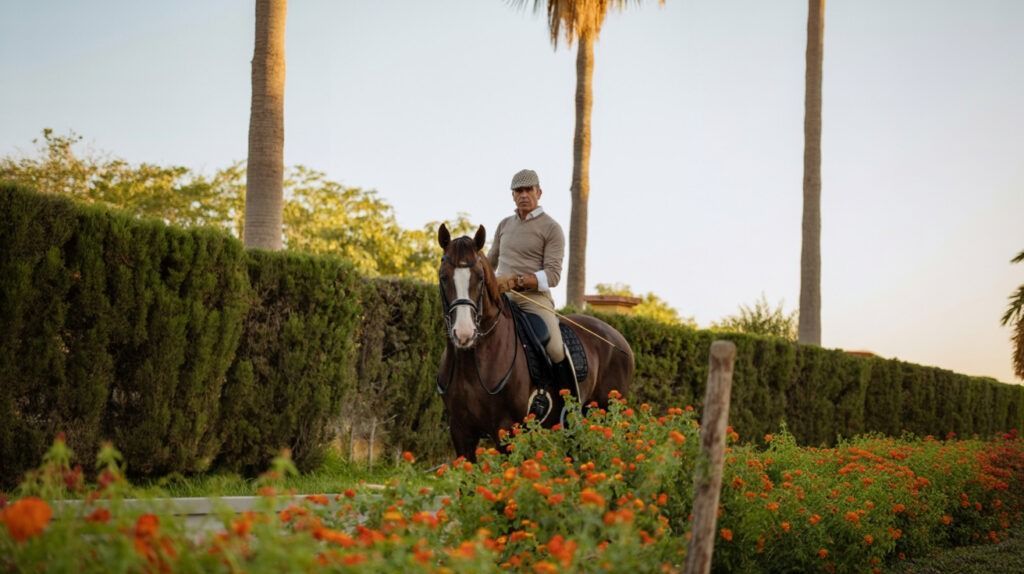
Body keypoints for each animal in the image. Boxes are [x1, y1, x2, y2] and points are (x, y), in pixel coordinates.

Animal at [436, 223, 635, 461]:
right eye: (443, 277)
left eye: (480, 277)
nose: (464, 334)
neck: (473, 364)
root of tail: (620, 341)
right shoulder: (461, 432)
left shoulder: (507, 431)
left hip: (610, 414)